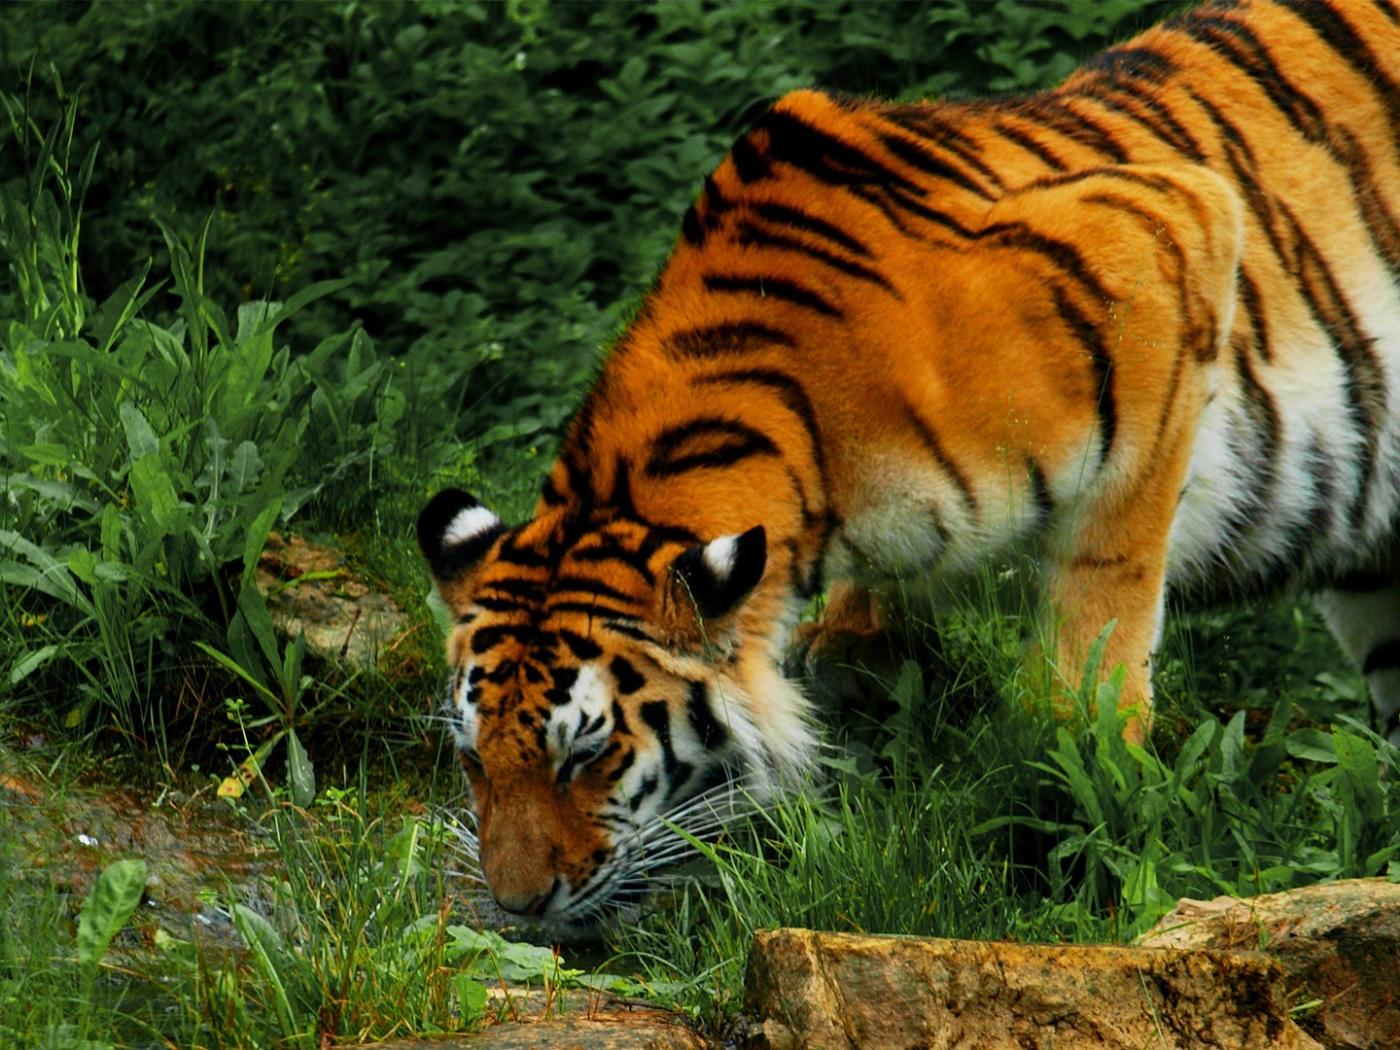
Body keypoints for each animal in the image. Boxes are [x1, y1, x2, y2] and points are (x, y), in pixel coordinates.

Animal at [418, 0, 1400, 927]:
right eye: (474, 759)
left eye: (586, 756)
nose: (516, 905)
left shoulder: (1169, 242)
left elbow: (1097, 635)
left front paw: (1085, 820)